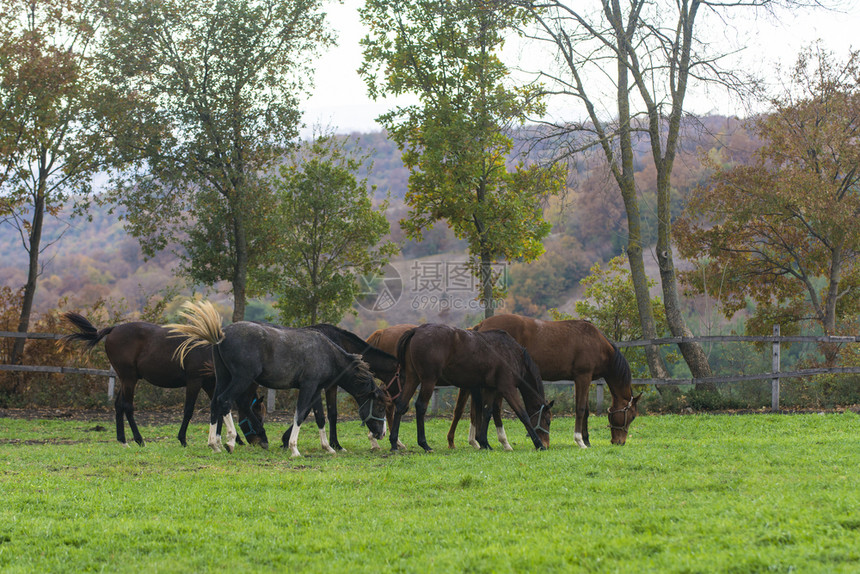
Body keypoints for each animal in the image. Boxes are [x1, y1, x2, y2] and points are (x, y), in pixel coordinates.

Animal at [62, 310, 260, 450]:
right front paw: (183, 439)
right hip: (129, 378)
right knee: (127, 406)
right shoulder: (194, 382)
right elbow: (189, 410)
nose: (256, 440)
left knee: (119, 405)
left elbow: (218, 409)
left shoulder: (210, 384)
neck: (210, 349)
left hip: (126, 379)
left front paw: (227, 439)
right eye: (256, 411)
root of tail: (113, 329)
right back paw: (139, 440)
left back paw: (123, 441)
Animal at [166, 302, 388, 460]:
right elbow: (300, 415)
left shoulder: (316, 390)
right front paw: (294, 449)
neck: (327, 352)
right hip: (242, 379)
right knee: (225, 401)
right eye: (379, 407)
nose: (382, 434)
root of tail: (221, 335)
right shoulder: (308, 387)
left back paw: (215, 444)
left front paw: (328, 448)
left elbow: (319, 417)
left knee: (215, 404)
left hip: (224, 377)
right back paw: (230, 442)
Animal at [390, 324, 552, 454]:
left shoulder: (490, 389)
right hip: (429, 380)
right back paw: (424, 444)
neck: (512, 353)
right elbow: (522, 415)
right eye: (548, 420)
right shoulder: (508, 389)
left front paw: (484, 442)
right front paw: (538, 443)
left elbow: (486, 412)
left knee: (401, 404)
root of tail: (416, 330)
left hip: (413, 378)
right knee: (421, 406)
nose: (547, 444)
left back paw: (394, 443)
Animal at [464, 316, 640, 450]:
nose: (619, 442)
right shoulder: (583, 377)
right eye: (632, 417)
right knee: (494, 408)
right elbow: (580, 409)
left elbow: (586, 410)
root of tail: (481, 325)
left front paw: (587, 440)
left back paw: (476, 441)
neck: (596, 342)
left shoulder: (581, 379)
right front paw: (580, 440)